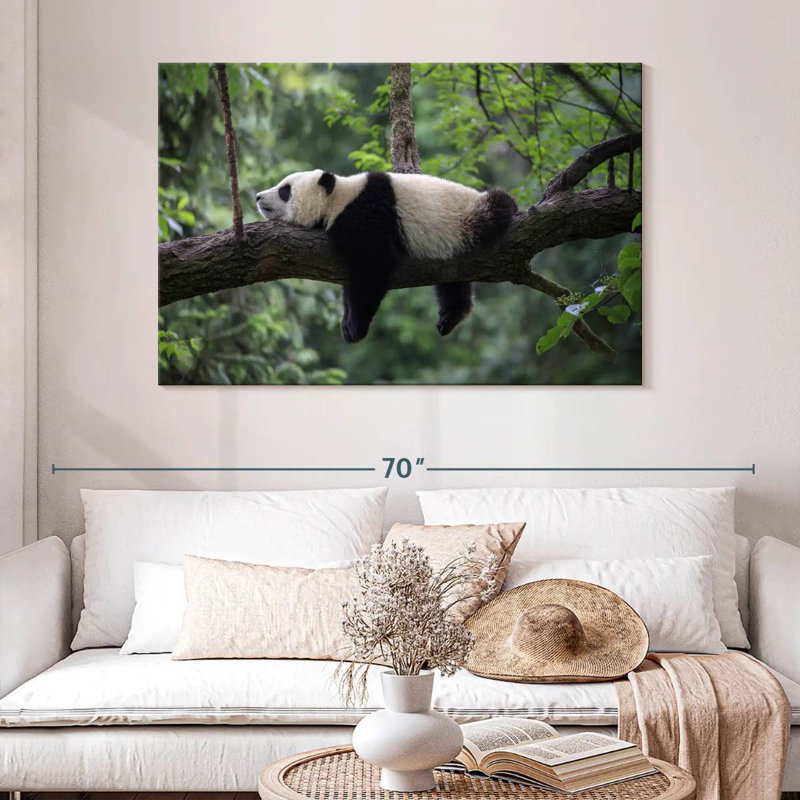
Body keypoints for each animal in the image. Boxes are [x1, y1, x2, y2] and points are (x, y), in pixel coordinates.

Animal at [256, 170, 517, 343]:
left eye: (285, 190)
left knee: (496, 207)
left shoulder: (367, 216)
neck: (339, 198)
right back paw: (450, 316)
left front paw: (355, 327)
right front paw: (347, 322)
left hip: (467, 217)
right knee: (452, 282)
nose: (258, 197)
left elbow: (372, 268)